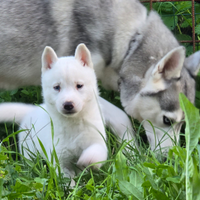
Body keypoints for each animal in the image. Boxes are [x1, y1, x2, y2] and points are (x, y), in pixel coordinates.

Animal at [0, 0, 199, 150]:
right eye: (167, 120)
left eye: (182, 123)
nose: (170, 160)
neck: (131, 41)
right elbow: (122, 117)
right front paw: (130, 151)